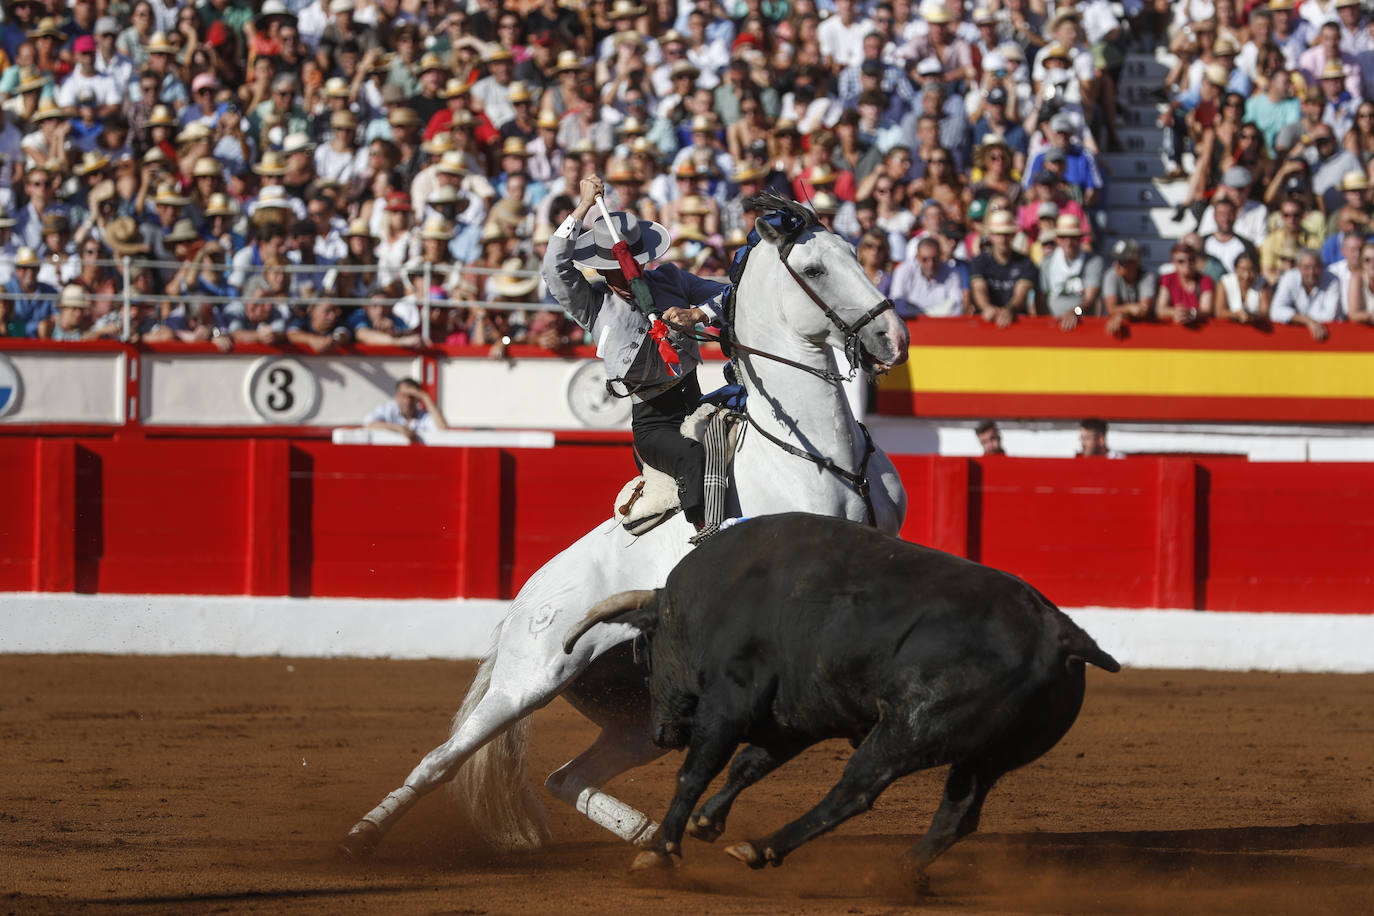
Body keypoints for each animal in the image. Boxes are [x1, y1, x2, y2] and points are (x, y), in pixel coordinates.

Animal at [338, 199, 906, 862]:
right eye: (814, 269)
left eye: (855, 252)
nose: (893, 339)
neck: (811, 449)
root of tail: (524, 601)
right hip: (528, 679)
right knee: (442, 759)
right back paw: (361, 835)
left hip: (635, 715)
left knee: (565, 777)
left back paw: (640, 831)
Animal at [563, 513, 1121, 889]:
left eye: (646, 651)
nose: (659, 733)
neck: (711, 598)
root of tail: (1062, 636)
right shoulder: (793, 719)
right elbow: (748, 764)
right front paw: (707, 823)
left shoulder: (729, 702)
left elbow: (695, 772)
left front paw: (660, 850)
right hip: (986, 759)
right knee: (957, 814)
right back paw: (900, 873)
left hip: (906, 731)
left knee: (855, 791)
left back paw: (762, 848)